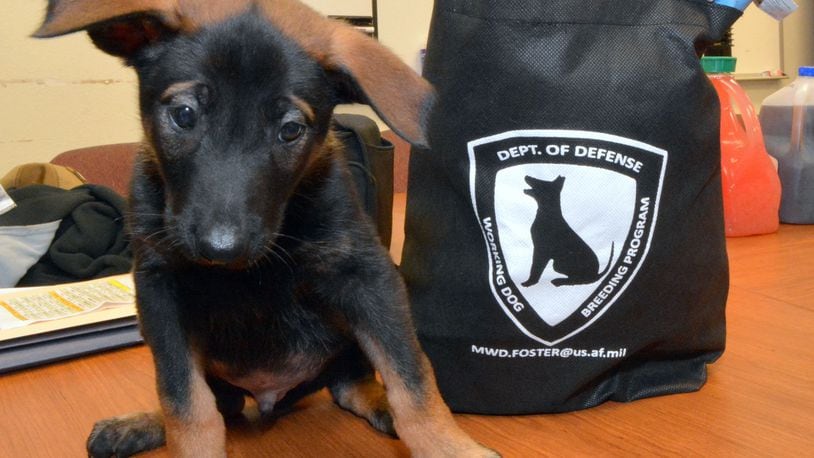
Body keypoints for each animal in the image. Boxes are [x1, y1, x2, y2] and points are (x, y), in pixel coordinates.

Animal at [36, 0, 498, 458]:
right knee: (219, 403)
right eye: (183, 115)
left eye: (290, 129)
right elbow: (184, 403)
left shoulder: (368, 276)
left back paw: (381, 406)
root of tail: (269, 397)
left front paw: (449, 447)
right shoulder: (158, 291)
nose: (222, 250)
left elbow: (412, 377)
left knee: (352, 384)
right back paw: (139, 424)